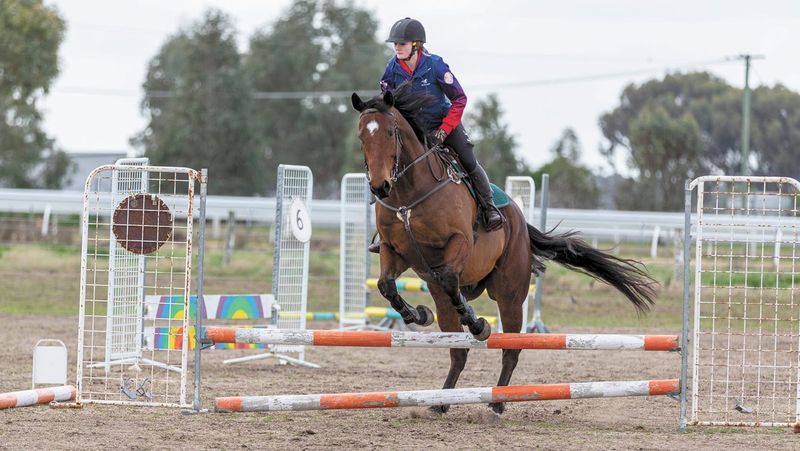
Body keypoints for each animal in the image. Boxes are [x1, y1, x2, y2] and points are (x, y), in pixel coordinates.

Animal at [350, 85, 657, 415]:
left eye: (390, 132)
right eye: (361, 136)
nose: (380, 187)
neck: (409, 195)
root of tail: (522, 226)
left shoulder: (459, 243)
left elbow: (449, 279)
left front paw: (477, 323)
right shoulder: (394, 251)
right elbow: (386, 285)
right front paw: (418, 314)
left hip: (510, 295)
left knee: (511, 348)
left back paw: (497, 401)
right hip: (449, 301)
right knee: (458, 350)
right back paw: (442, 401)